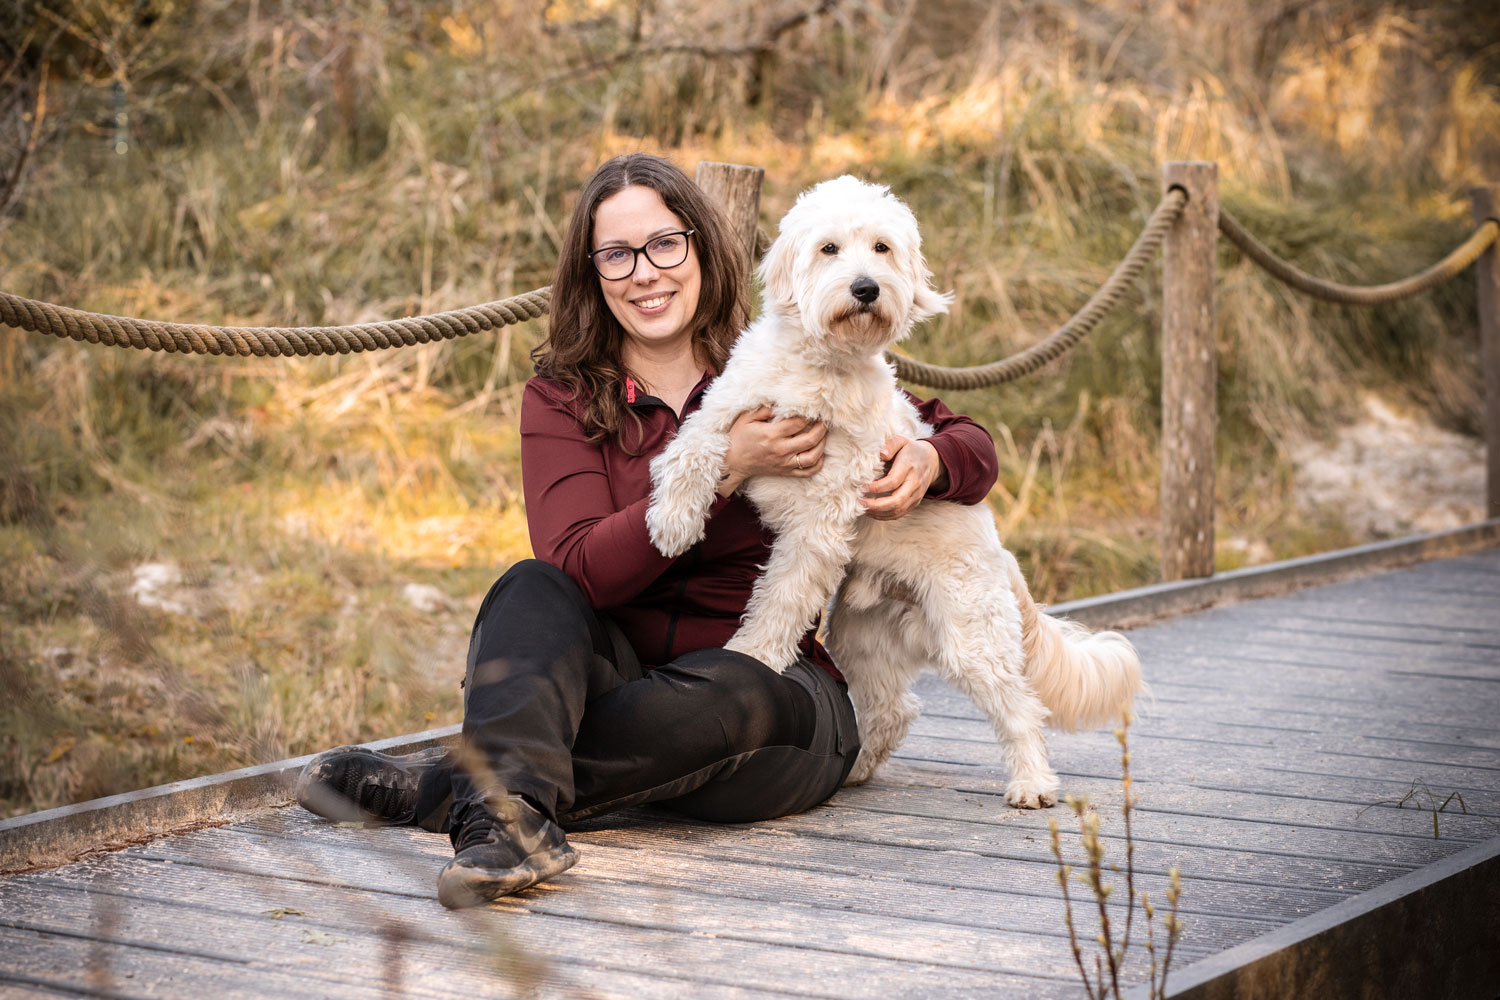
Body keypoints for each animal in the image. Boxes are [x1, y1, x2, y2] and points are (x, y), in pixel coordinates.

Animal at [639, 176, 1140, 809]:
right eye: (829, 248)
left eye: (881, 247)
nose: (866, 288)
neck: (820, 369)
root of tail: (1001, 552)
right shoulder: (725, 414)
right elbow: (689, 449)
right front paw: (674, 522)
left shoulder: (820, 524)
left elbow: (780, 600)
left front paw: (752, 656)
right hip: (864, 639)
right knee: (896, 708)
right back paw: (855, 770)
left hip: (971, 636)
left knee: (1020, 708)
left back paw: (1031, 783)